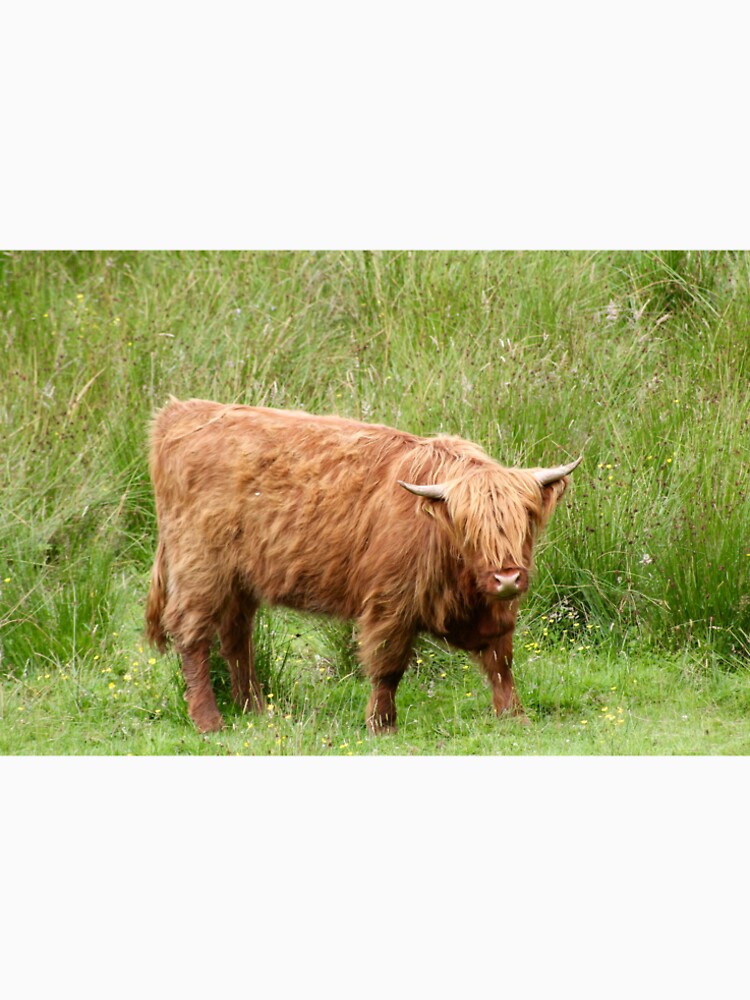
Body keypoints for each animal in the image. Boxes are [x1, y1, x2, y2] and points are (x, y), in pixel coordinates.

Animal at [145, 397, 581, 735]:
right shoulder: (390, 603)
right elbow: (388, 667)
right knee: (193, 637)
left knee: (237, 638)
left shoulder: (494, 609)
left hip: (238, 580)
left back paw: (254, 708)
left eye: (525, 519)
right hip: (199, 568)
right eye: (468, 527)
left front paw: (515, 718)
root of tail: (181, 413)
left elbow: (500, 662)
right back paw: (209, 721)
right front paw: (382, 725)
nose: (507, 577)